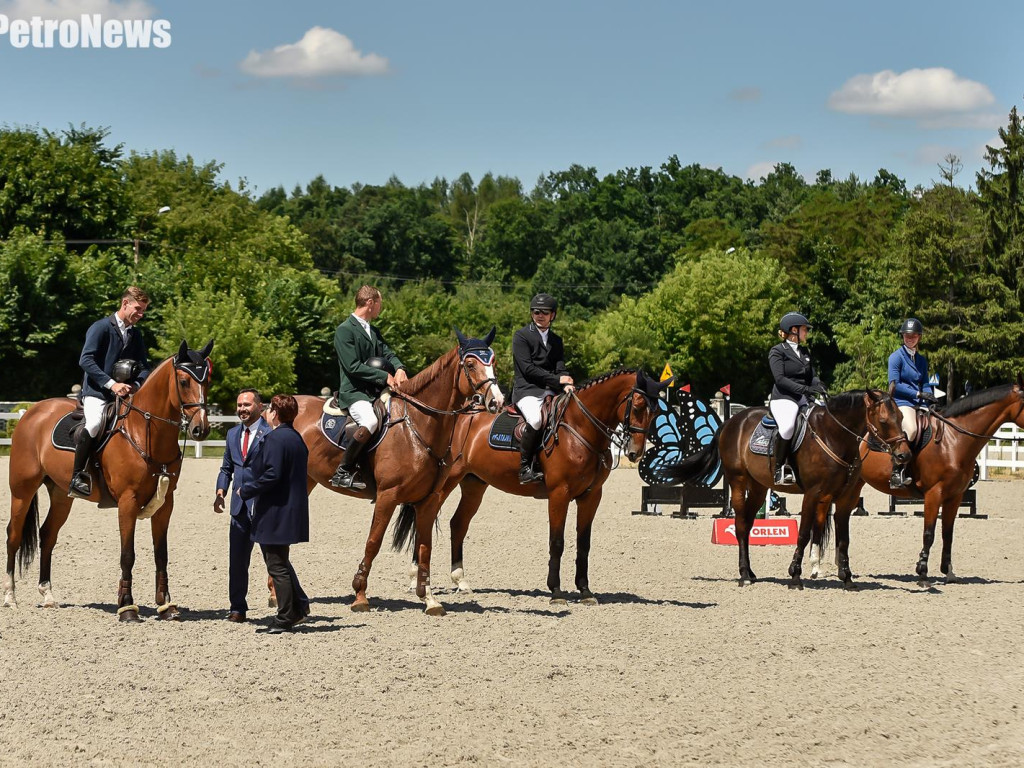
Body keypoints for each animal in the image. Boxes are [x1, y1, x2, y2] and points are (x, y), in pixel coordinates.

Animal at [4, 339, 214, 622]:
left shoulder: (165, 505)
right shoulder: (127, 502)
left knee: (47, 535)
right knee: (13, 536)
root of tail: (32, 411)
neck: (143, 431)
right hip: (22, 491)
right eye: (183, 381)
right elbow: (128, 555)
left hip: (61, 495)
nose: (200, 429)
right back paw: (10, 597)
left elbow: (161, 554)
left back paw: (48, 595)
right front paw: (127, 607)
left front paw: (166, 605)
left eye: (208, 380)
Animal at [290, 327, 501, 618]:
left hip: (307, 481)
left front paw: (429, 599)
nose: (497, 401)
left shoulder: (429, 500)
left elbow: (424, 547)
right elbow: (373, 542)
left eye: (494, 362)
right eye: (470, 364)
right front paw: (360, 596)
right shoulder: (387, 496)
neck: (418, 425)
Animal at [391, 370, 671, 618]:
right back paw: (415, 579)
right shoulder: (560, 494)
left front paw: (585, 591)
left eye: (656, 411)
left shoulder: (592, 496)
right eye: (637, 406)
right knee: (425, 523)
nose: (634, 453)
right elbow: (556, 542)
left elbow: (584, 543)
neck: (580, 427)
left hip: (474, 485)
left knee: (458, 524)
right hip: (446, 483)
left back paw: (460, 581)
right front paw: (556, 592)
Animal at [667, 393, 909, 593]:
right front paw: (795, 576)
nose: (904, 455)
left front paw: (847, 578)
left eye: (900, 417)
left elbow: (843, 539)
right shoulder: (812, 494)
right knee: (740, 524)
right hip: (738, 481)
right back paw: (744, 575)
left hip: (758, 487)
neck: (834, 436)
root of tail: (731, 421)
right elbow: (803, 534)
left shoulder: (846, 499)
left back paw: (750, 573)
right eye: (884, 420)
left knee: (747, 523)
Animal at [815, 378, 1024, 589]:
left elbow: (948, 534)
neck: (953, 441)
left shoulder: (955, 497)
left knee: (840, 518)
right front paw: (922, 574)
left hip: (853, 486)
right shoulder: (934, 494)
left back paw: (841, 568)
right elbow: (929, 533)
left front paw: (949, 572)